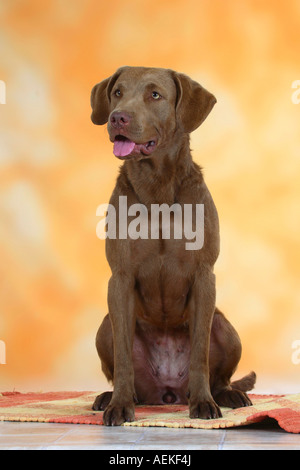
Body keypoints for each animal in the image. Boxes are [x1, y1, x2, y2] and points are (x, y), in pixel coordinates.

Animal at [89, 67, 255, 426]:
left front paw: (204, 403)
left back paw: (228, 395)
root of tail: (167, 393)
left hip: (226, 327)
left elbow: (200, 354)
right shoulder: (119, 278)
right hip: (105, 326)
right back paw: (111, 396)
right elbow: (123, 358)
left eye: (155, 95)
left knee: (220, 375)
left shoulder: (204, 275)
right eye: (118, 92)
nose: (117, 117)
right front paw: (120, 405)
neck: (158, 187)